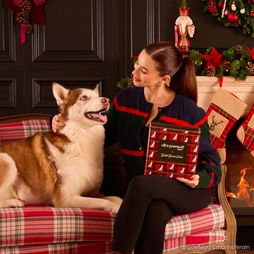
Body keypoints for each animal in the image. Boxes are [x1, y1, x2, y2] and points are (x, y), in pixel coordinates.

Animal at [0, 83, 122, 212]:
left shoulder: (93, 193)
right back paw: (12, 202)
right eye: (83, 97)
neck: (82, 135)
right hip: (7, 160)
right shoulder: (66, 198)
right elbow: (105, 202)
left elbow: (116, 198)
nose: (107, 100)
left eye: (97, 96)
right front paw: (115, 208)